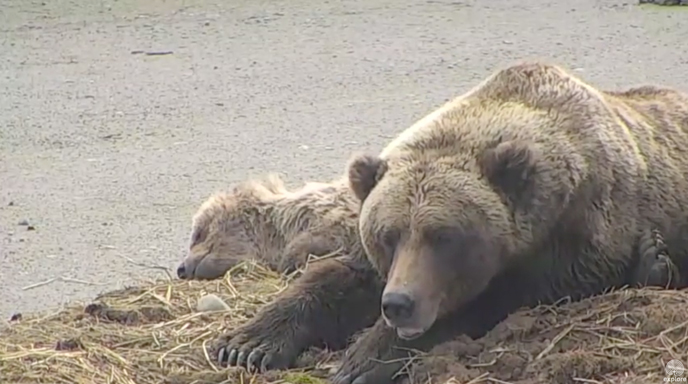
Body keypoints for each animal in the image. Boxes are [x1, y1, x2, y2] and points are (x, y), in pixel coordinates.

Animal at [212, 60, 684, 384]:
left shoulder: (577, 238)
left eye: (444, 236)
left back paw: (655, 262)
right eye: (387, 235)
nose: (398, 303)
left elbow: (491, 299)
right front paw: (246, 344)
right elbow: (335, 276)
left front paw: (363, 359)